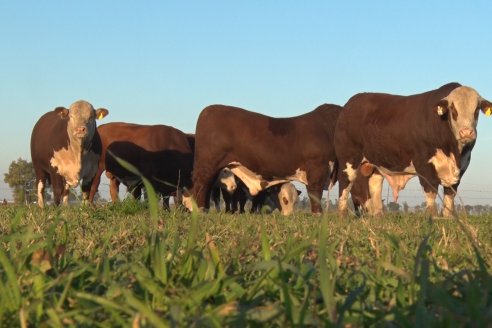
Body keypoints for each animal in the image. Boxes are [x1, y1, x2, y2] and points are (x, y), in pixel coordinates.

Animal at [332, 82, 490, 217]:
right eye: (452, 109)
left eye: (476, 110)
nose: (466, 132)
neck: (453, 152)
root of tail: (352, 102)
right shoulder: (424, 165)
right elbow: (431, 192)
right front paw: (433, 218)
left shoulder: (462, 167)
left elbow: (450, 195)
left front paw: (449, 218)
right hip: (348, 158)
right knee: (345, 185)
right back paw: (342, 215)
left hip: (376, 163)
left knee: (375, 186)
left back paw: (379, 217)